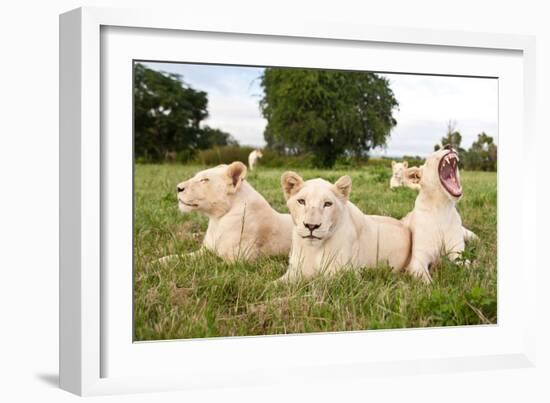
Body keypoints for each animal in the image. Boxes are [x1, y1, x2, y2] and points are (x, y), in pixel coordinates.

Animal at [162, 163, 296, 264]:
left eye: (204, 180)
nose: (178, 188)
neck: (216, 220)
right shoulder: (205, 250)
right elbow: (179, 256)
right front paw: (159, 261)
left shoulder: (240, 260)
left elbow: (212, 263)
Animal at [278, 172, 412, 282]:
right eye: (301, 201)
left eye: (327, 204)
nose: (311, 226)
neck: (314, 249)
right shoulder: (294, 271)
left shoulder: (345, 274)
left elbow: (318, 282)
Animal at [402, 148, 478, 284]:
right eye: (433, 155)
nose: (449, 145)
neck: (442, 207)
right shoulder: (418, 262)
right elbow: (428, 283)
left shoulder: (457, 253)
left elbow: (468, 266)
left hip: (470, 235)